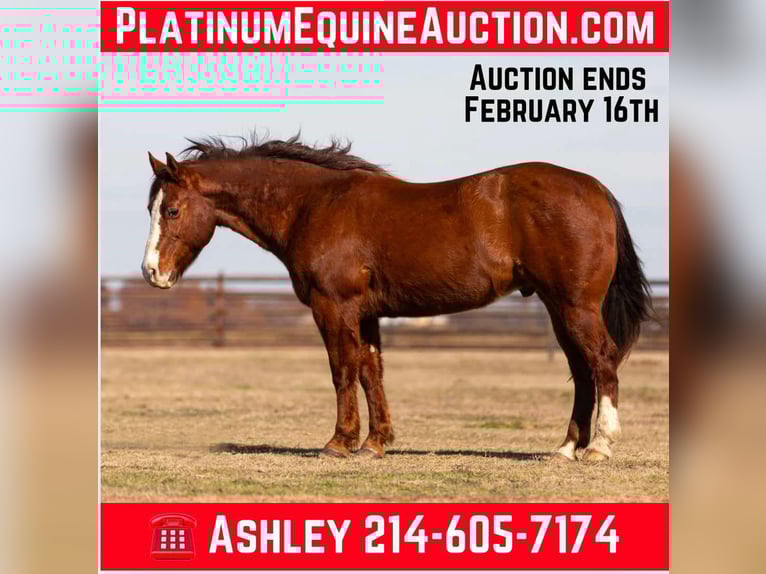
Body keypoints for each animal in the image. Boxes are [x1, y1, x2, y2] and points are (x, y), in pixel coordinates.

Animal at [141, 134, 652, 462]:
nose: (151, 273)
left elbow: (342, 370)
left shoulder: (334, 307)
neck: (314, 205)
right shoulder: (366, 315)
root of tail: (595, 188)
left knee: (602, 360)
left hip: (575, 306)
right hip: (557, 306)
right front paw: (375, 442)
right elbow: (371, 372)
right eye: (152, 208)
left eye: (172, 210)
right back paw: (565, 449)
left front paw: (339, 443)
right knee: (581, 370)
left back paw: (599, 447)